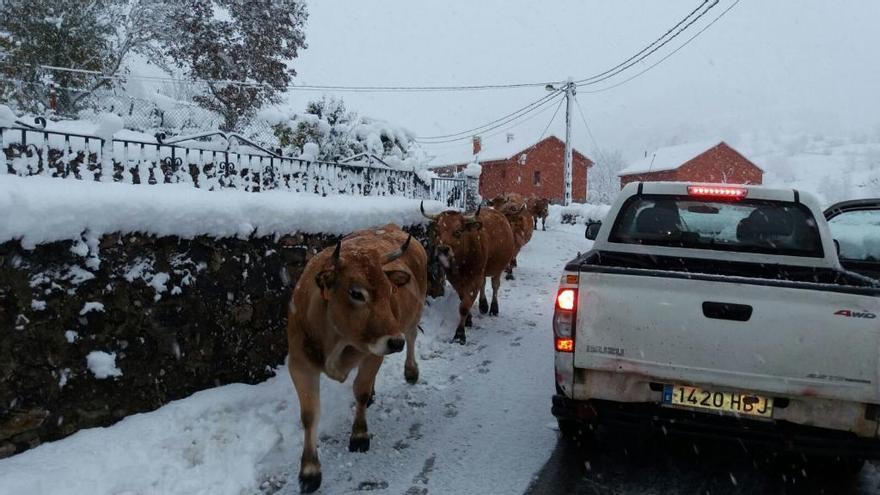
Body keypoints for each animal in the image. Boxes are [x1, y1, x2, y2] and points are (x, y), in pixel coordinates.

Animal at [288, 227, 428, 494]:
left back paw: (411, 371)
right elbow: (309, 415)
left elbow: (360, 392)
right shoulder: (300, 364)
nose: (394, 342)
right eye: (355, 293)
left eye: (390, 290)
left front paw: (360, 435)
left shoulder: (373, 354)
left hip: (413, 316)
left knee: (412, 337)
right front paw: (309, 471)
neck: (335, 339)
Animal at [422, 202, 516, 344]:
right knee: (484, 284)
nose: (443, 249)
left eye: (457, 232)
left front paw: (460, 333)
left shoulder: (475, 278)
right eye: (437, 232)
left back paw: (494, 308)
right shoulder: (455, 279)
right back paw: (483, 305)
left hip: (498, 269)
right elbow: (463, 299)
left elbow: (465, 306)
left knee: (495, 286)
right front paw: (468, 319)